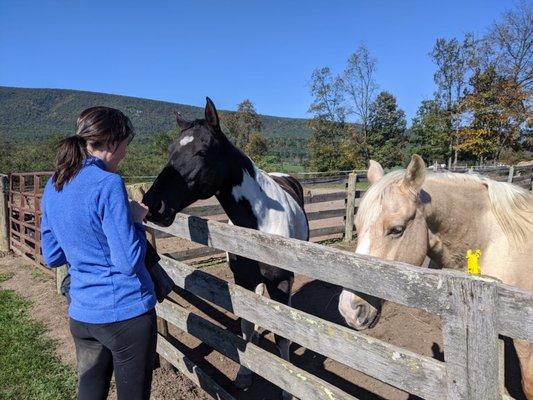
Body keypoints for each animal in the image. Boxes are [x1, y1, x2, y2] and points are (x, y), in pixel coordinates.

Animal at [141, 97, 308, 400]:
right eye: (170, 151)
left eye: (202, 151)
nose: (153, 205)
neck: (260, 222)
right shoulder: (242, 279)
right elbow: (246, 324)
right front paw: (244, 375)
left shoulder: (281, 282)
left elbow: (282, 335)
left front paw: (288, 389)